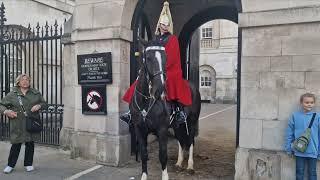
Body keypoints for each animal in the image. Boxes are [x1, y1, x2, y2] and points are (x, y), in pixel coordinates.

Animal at [129, 39, 200, 180]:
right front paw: (144, 176)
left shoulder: (161, 129)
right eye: (148, 58)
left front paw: (165, 176)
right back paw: (179, 162)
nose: (160, 89)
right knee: (180, 140)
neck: (146, 101)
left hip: (192, 122)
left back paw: (190, 165)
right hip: (178, 125)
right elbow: (144, 154)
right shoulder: (139, 129)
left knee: (190, 141)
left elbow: (163, 155)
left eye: (165, 58)